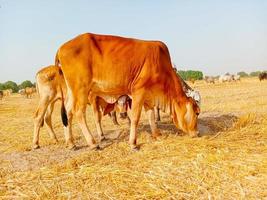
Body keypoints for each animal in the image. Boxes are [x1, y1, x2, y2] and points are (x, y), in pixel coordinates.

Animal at [55, 32, 201, 150]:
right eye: (197, 113)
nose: (197, 133)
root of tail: (61, 48)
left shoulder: (148, 97)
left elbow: (151, 116)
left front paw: (157, 135)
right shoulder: (138, 92)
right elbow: (135, 118)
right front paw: (133, 143)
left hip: (72, 91)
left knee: (68, 111)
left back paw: (71, 143)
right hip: (81, 89)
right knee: (79, 112)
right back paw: (93, 143)